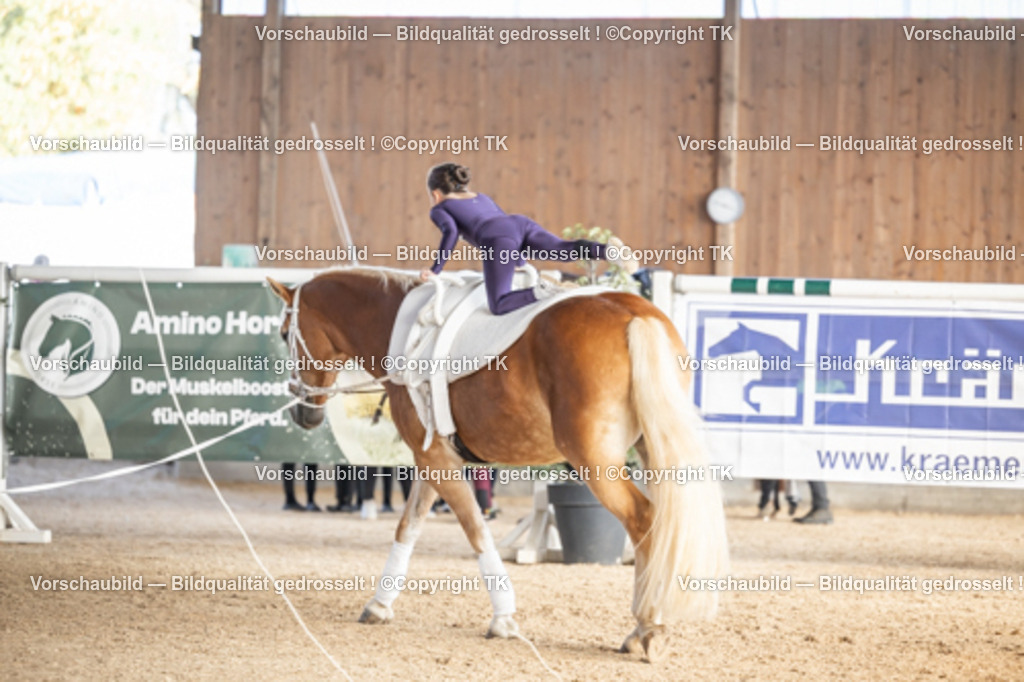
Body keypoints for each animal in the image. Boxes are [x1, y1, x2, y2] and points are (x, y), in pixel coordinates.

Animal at [267, 267, 729, 661]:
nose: (302, 413)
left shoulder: (435, 459)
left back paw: (647, 628)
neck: (402, 328)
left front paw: (503, 617)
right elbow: (408, 526)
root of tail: (633, 313)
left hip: (595, 461)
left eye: (286, 333)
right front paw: (380, 604)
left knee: (643, 519)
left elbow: (475, 529)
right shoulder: (433, 458)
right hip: (650, 444)